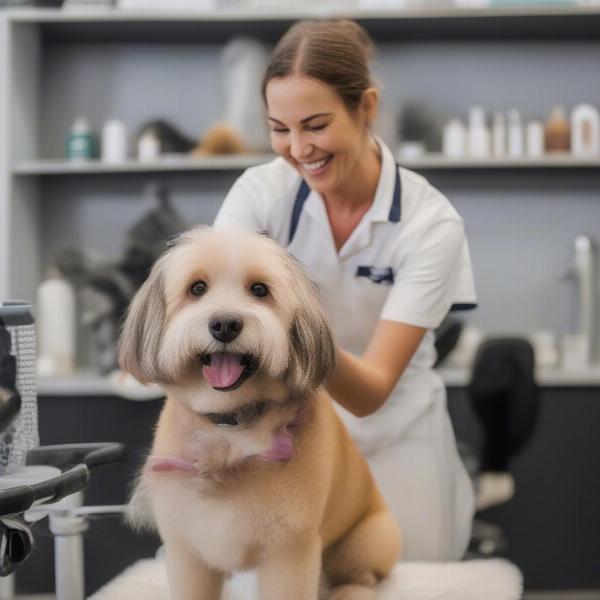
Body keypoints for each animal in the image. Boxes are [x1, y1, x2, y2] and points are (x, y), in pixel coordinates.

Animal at [119, 227, 400, 596]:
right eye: (197, 288)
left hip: (368, 540)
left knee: (362, 576)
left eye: (259, 290)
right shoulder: (186, 551)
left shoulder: (290, 552)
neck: (231, 427)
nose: (225, 324)